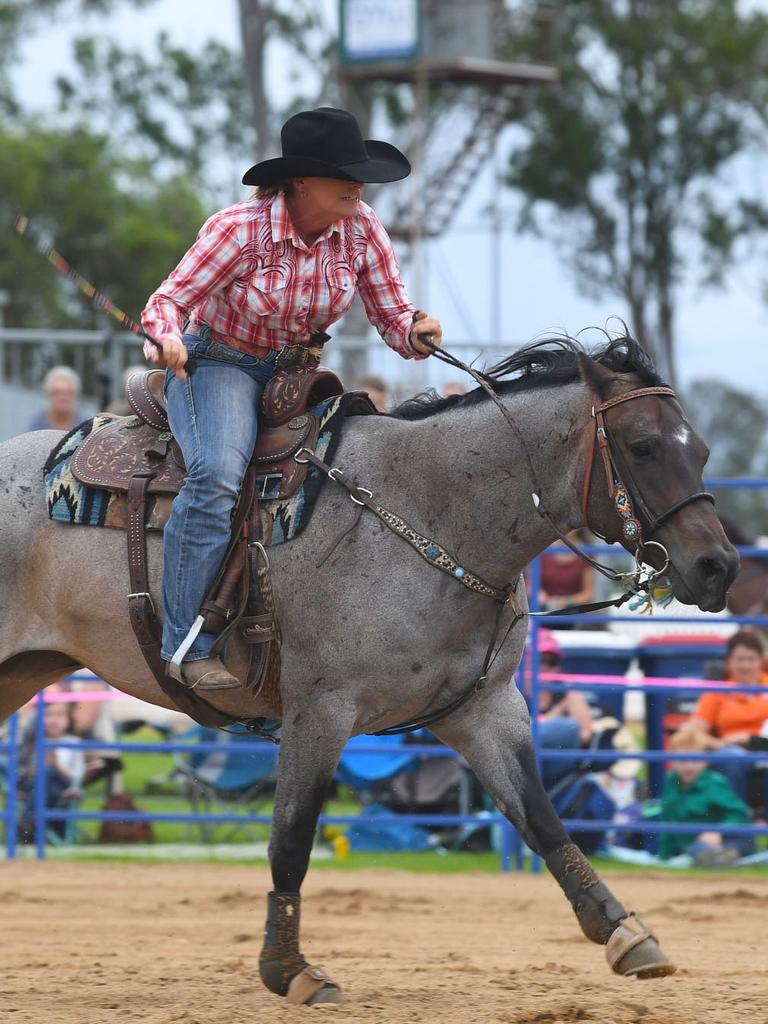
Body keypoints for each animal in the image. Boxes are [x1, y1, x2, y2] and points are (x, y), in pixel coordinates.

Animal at [0, 335, 741, 999]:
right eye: (643, 447)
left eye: (702, 451)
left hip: (23, 671)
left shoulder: (486, 707)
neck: (426, 510)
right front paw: (289, 970)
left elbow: (541, 817)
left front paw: (625, 932)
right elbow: (292, 839)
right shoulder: (320, 712)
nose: (719, 567)